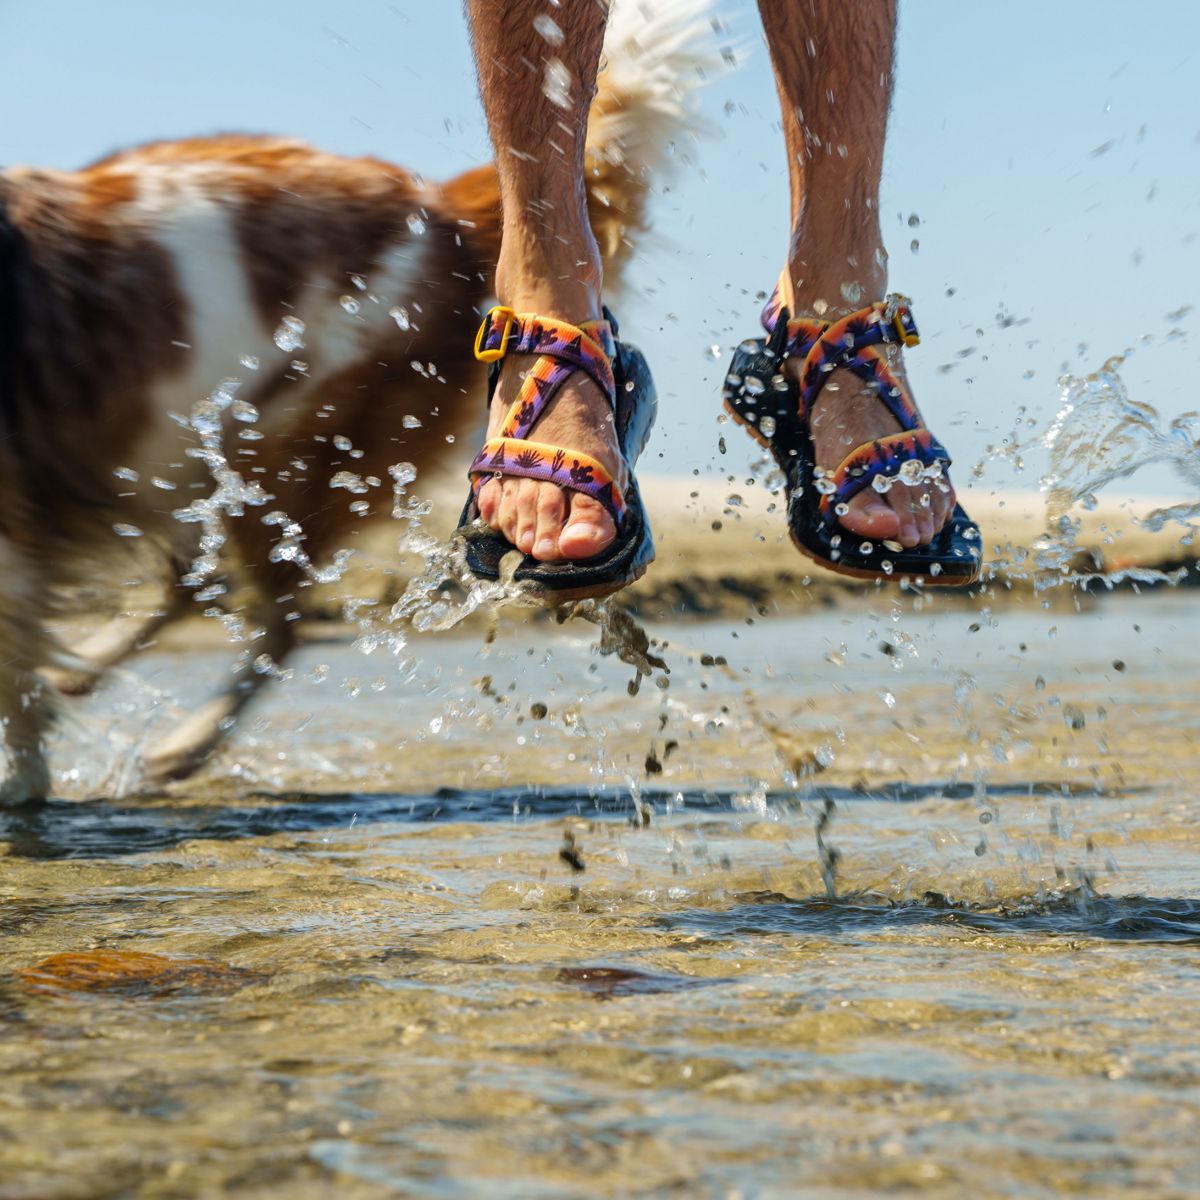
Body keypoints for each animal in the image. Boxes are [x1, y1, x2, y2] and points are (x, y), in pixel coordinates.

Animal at [0, 4, 720, 806]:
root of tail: (441, 209)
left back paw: (179, 742)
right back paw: (87, 674)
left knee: (274, 621)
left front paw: (21, 781)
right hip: (191, 454)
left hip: (285, 454)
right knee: (196, 584)